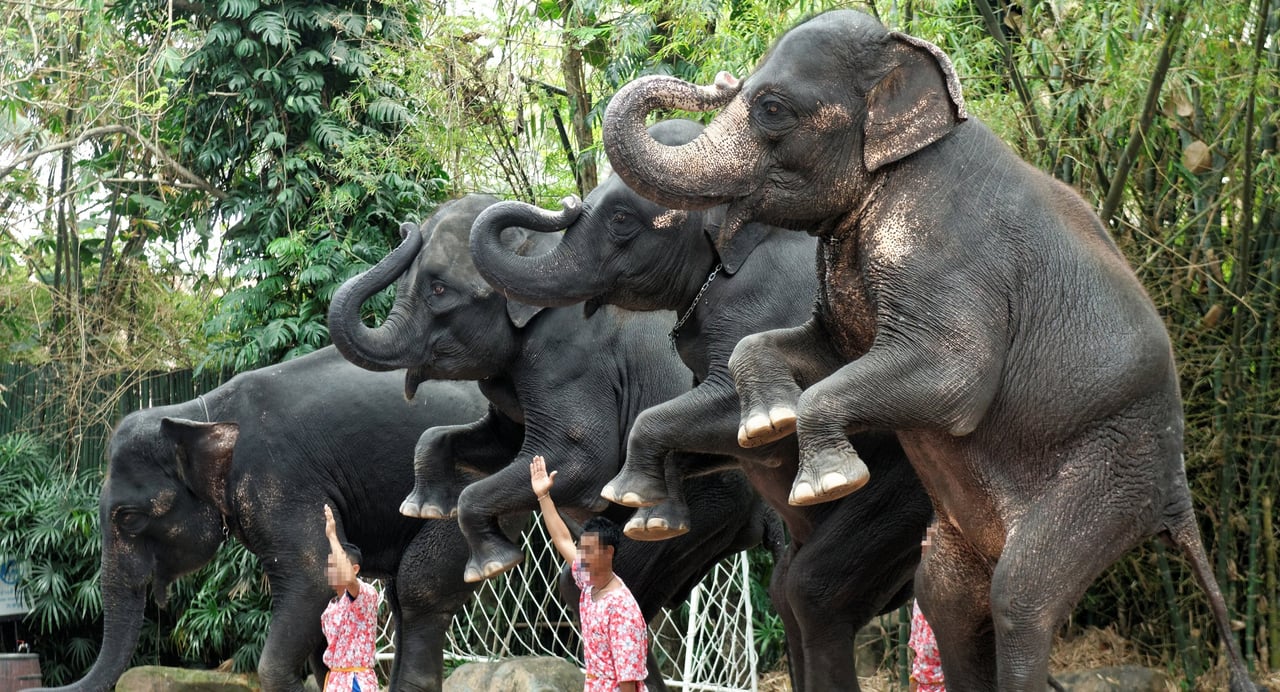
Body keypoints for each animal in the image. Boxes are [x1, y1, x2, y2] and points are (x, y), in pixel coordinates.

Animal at [468, 118, 931, 690]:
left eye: (621, 219)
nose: (566, 201)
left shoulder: (769, 304)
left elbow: (747, 419)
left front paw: (627, 495)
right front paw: (651, 513)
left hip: (899, 495)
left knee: (812, 591)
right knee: (789, 593)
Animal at [599, 9, 1259, 690]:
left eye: (772, 108)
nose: (714, 81)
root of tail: (1177, 489)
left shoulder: (944, 249)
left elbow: (953, 379)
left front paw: (826, 480)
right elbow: (820, 353)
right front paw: (764, 423)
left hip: (1114, 465)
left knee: (1021, 596)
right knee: (947, 597)